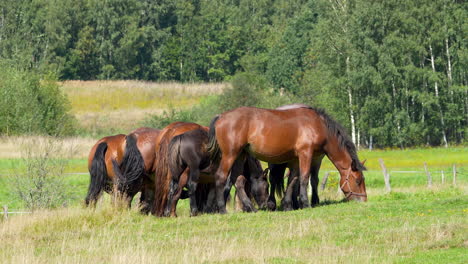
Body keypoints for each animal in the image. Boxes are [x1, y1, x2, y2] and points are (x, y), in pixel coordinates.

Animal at [207, 104, 366, 213]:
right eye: (358, 180)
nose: (364, 200)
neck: (318, 124)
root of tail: (221, 116)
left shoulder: (295, 160)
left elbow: (292, 181)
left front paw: (288, 205)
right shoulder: (305, 154)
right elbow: (304, 178)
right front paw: (305, 203)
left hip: (241, 155)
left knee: (238, 180)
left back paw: (251, 207)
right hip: (230, 155)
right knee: (221, 177)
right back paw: (222, 209)